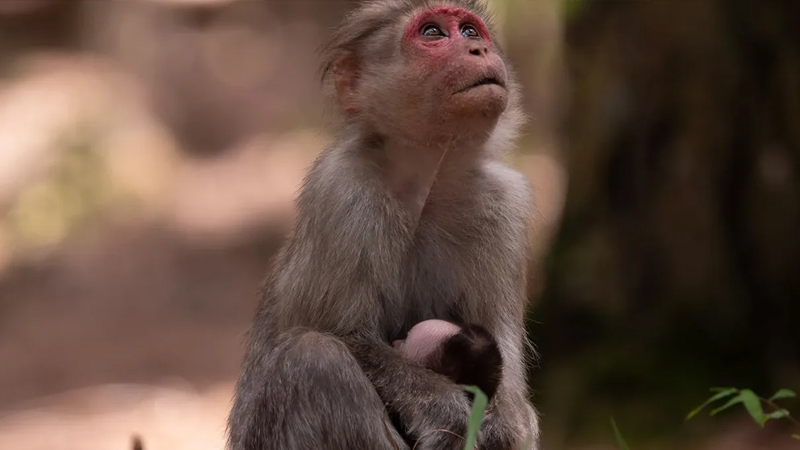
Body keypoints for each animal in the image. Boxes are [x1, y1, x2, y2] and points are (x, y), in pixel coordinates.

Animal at [227, 0, 536, 450]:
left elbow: (504, 356)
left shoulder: (504, 204)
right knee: (316, 358)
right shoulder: (342, 190)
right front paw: (444, 408)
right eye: (432, 33)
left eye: (470, 31)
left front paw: (505, 422)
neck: (428, 184)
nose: (477, 50)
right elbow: (347, 335)